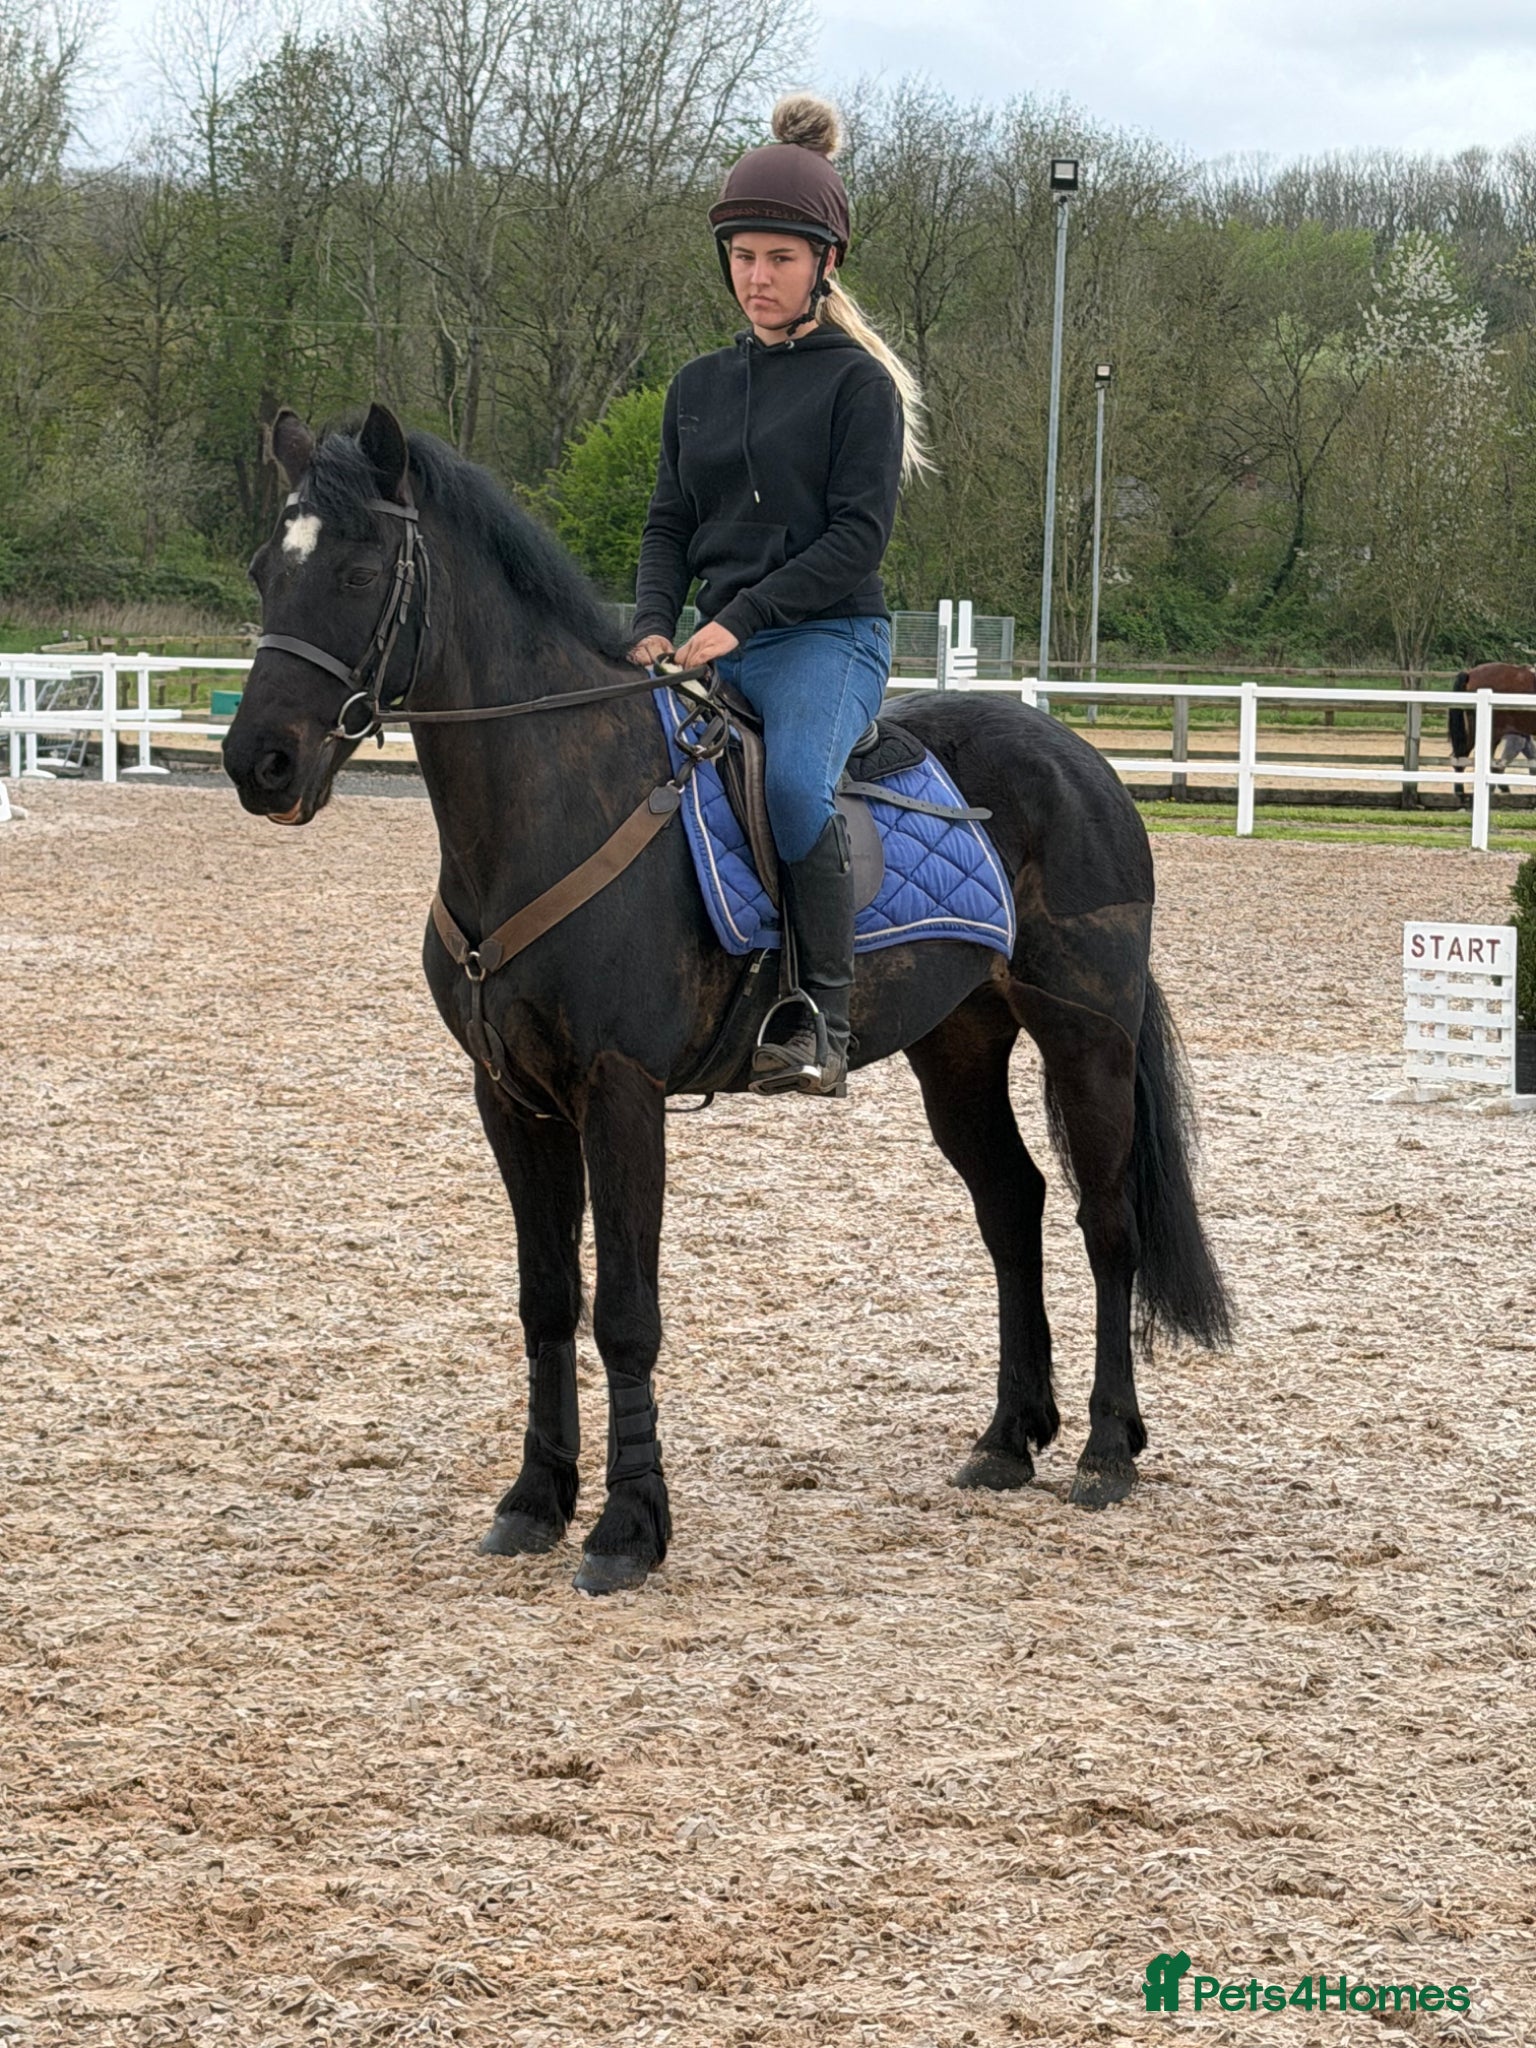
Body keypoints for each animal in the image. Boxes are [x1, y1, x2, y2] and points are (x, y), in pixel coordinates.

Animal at [222, 403, 1233, 1596]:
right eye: (264, 569)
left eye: (359, 568)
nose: (258, 763)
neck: (551, 798)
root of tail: (1083, 761)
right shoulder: (510, 1100)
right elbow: (545, 1299)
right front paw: (534, 1500)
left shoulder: (620, 1091)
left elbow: (624, 1312)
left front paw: (627, 1527)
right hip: (958, 1047)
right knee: (1011, 1206)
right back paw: (1008, 1436)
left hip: (1086, 1032)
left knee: (1106, 1221)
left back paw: (1106, 1450)